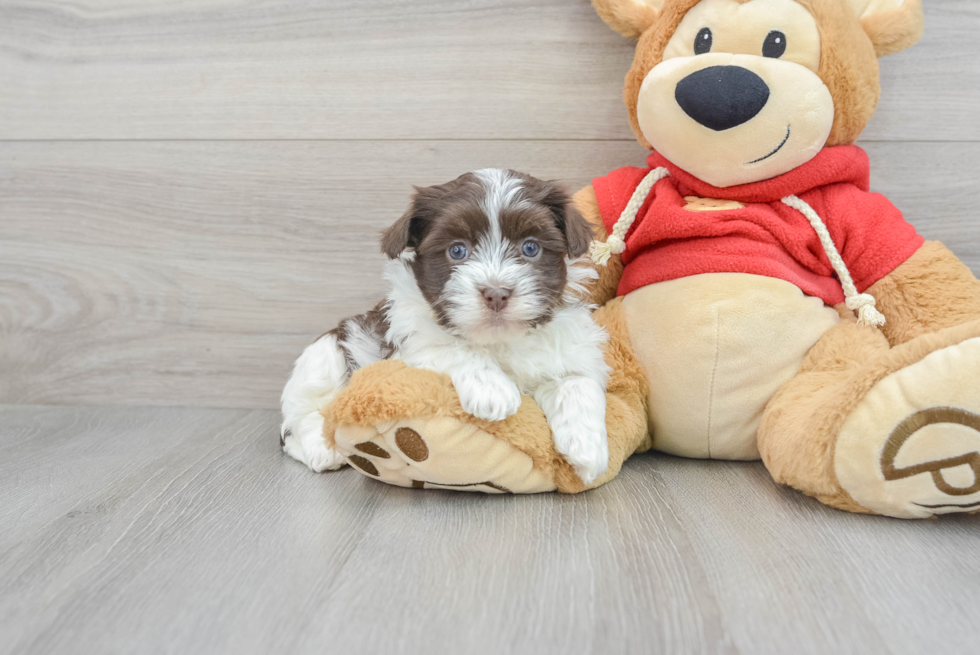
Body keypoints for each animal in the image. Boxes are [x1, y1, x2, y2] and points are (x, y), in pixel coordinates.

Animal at [280, 169, 608, 484]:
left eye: (530, 248)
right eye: (457, 251)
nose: (496, 293)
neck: (497, 340)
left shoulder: (570, 349)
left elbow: (577, 382)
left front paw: (588, 447)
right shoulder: (406, 345)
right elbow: (448, 345)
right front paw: (492, 389)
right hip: (325, 354)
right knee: (301, 415)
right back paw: (323, 449)